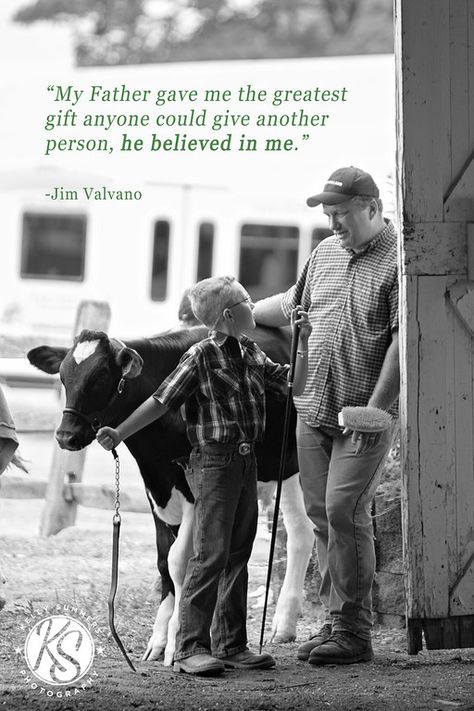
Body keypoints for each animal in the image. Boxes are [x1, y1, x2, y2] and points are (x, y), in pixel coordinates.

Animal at [26, 326, 314, 664]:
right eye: (62, 375)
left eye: (100, 375)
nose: (65, 436)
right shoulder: (156, 490)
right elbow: (164, 559)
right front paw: (159, 639)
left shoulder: (194, 490)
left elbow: (180, 560)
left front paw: (178, 641)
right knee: (292, 534)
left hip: (299, 466)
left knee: (306, 532)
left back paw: (284, 622)